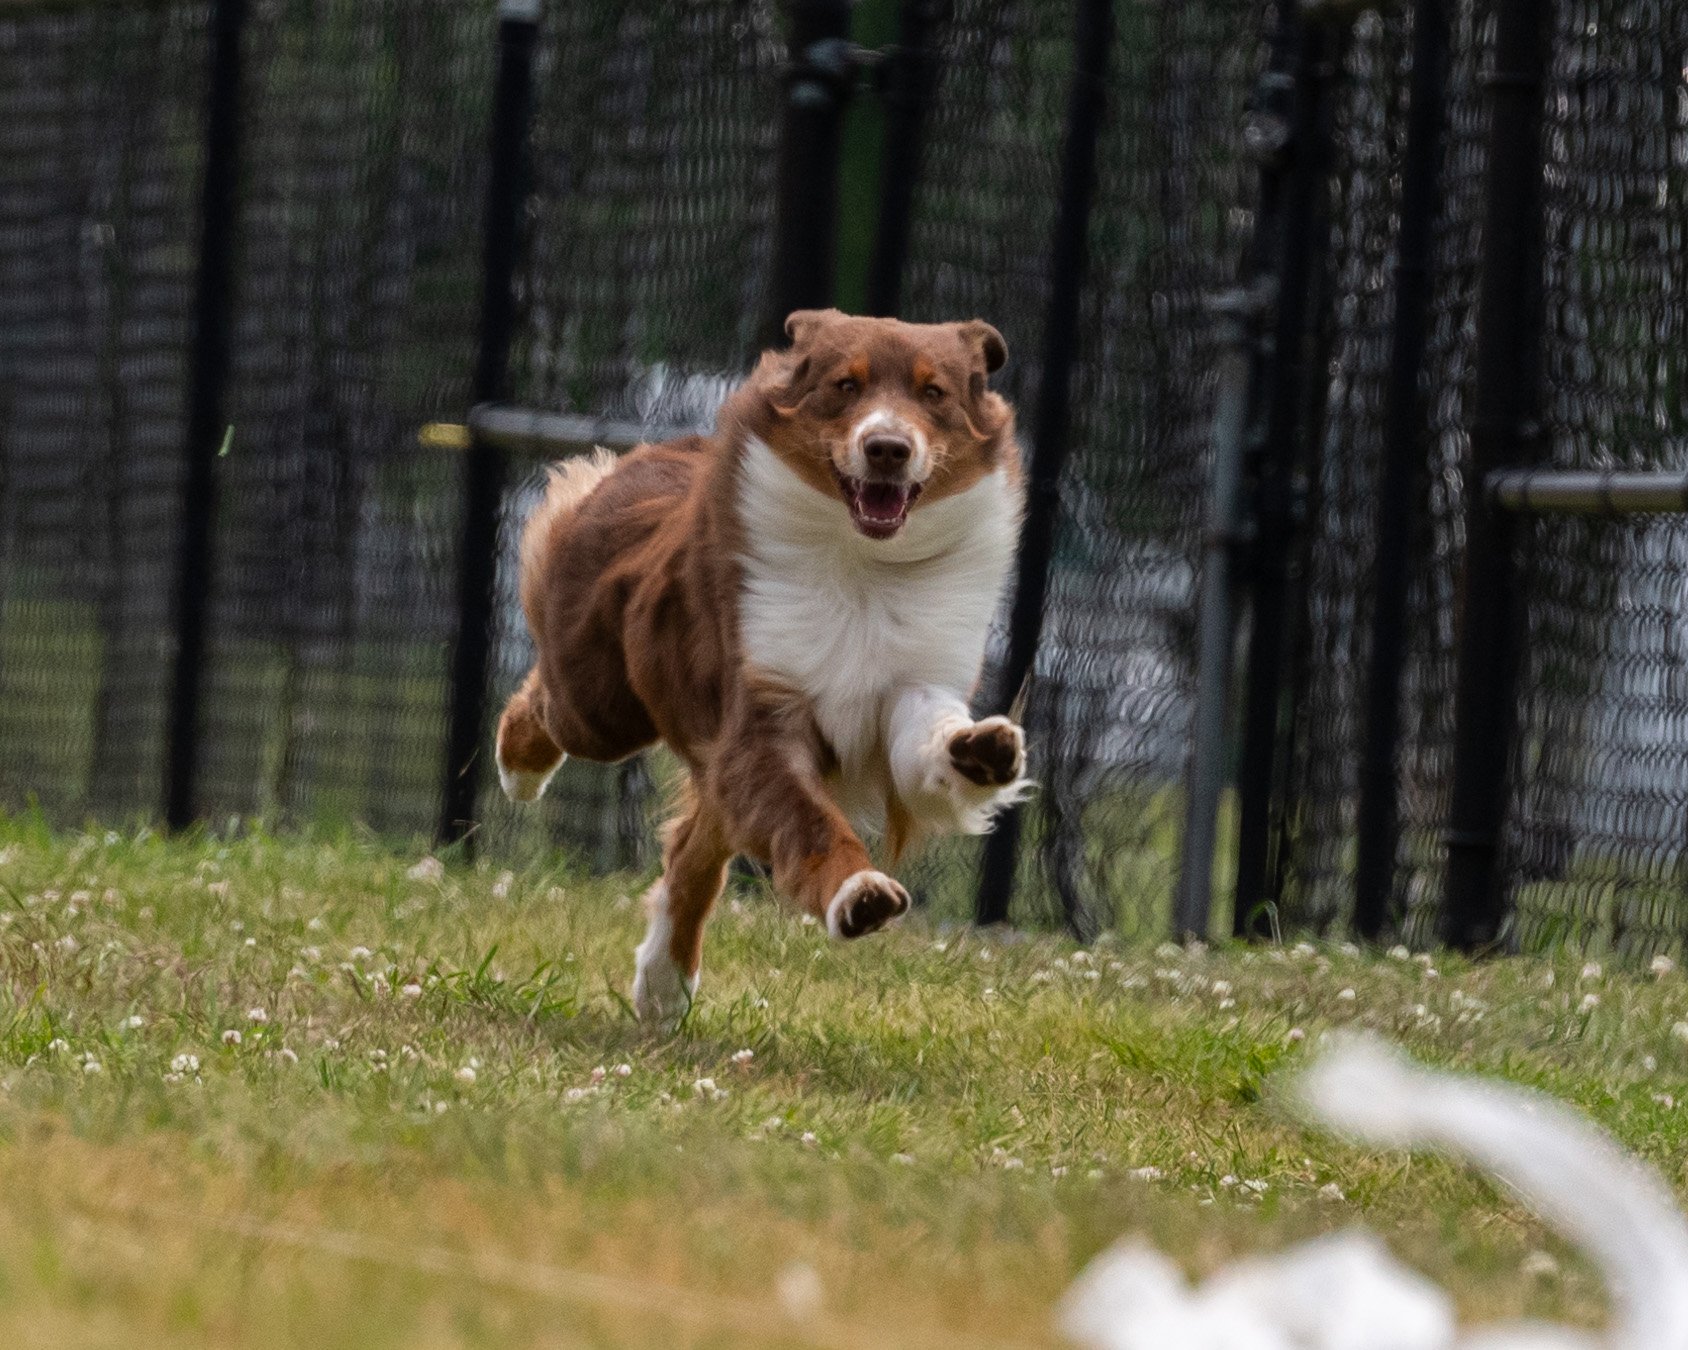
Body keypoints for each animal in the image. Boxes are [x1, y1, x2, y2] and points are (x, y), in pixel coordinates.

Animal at [495, 309, 1030, 1025]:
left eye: (934, 392)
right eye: (845, 385)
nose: (887, 447)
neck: (862, 567)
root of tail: (665, 450)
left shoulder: (913, 681)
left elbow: (928, 746)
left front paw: (981, 753)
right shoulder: (763, 718)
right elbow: (809, 825)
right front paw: (859, 893)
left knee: (692, 851)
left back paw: (662, 986)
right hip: (600, 707)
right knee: (549, 706)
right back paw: (518, 772)